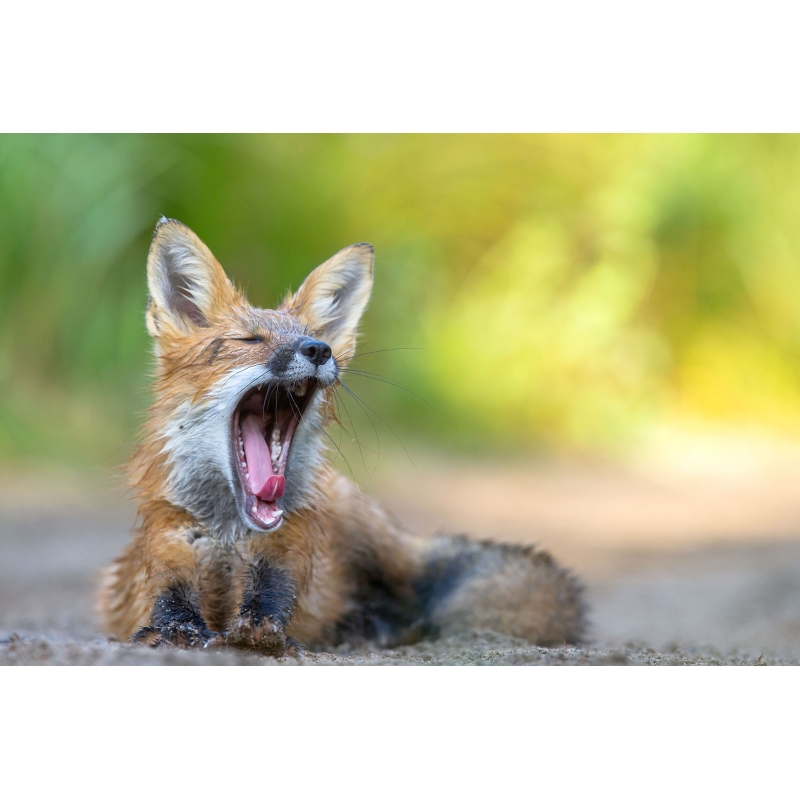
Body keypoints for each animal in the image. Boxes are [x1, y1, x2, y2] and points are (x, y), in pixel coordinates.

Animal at [98, 218, 585, 656]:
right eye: (249, 340)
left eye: (314, 337)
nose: (318, 349)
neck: (230, 534)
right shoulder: (169, 544)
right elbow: (170, 601)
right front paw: (175, 631)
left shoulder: (287, 549)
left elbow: (274, 600)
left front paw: (262, 633)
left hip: (371, 535)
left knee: (418, 599)